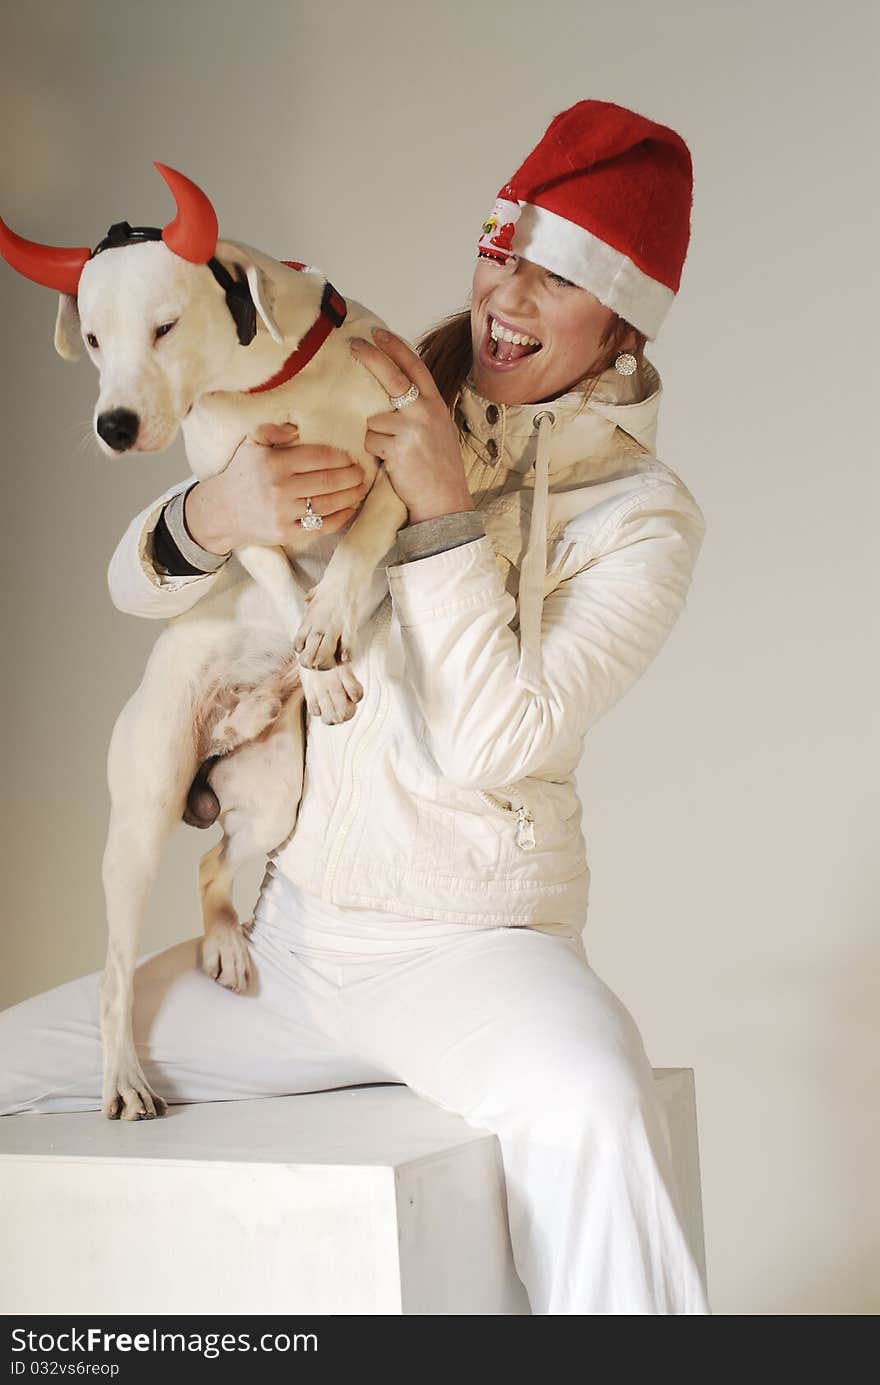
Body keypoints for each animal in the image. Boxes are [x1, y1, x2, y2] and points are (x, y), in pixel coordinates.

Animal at [0, 162, 410, 1119]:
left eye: (163, 325)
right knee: (114, 972)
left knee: (213, 871)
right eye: (94, 338)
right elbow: (279, 577)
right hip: (140, 817)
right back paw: (122, 1079)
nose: (112, 425)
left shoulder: (400, 465)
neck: (271, 385)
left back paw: (223, 944)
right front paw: (318, 657)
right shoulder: (239, 507)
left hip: (271, 802)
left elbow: (363, 536)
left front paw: (330, 621)